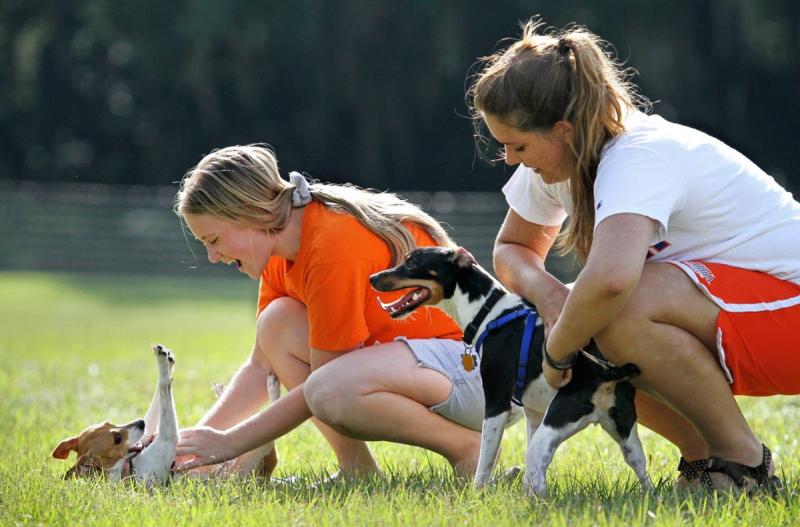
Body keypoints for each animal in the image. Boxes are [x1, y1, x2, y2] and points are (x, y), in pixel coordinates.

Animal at [372, 246, 652, 496]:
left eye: (411, 263)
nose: (373, 278)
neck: (488, 312)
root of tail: (604, 374)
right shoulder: (533, 413)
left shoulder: (496, 405)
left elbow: (485, 462)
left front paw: (476, 494)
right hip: (624, 432)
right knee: (640, 468)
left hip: (555, 425)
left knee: (538, 475)